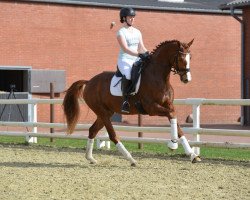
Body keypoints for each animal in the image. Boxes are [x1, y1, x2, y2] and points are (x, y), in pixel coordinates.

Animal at [62, 39, 201, 166]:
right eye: (181, 57)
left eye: (190, 57)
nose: (187, 79)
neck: (158, 77)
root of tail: (89, 81)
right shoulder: (151, 108)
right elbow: (172, 115)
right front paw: (173, 144)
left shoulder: (168, 105)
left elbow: (176, 122)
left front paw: (192, 155)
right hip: (103, 113)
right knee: (113, 136)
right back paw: (131, 159)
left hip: (105, 113)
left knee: (92, 130)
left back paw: (90, 158)